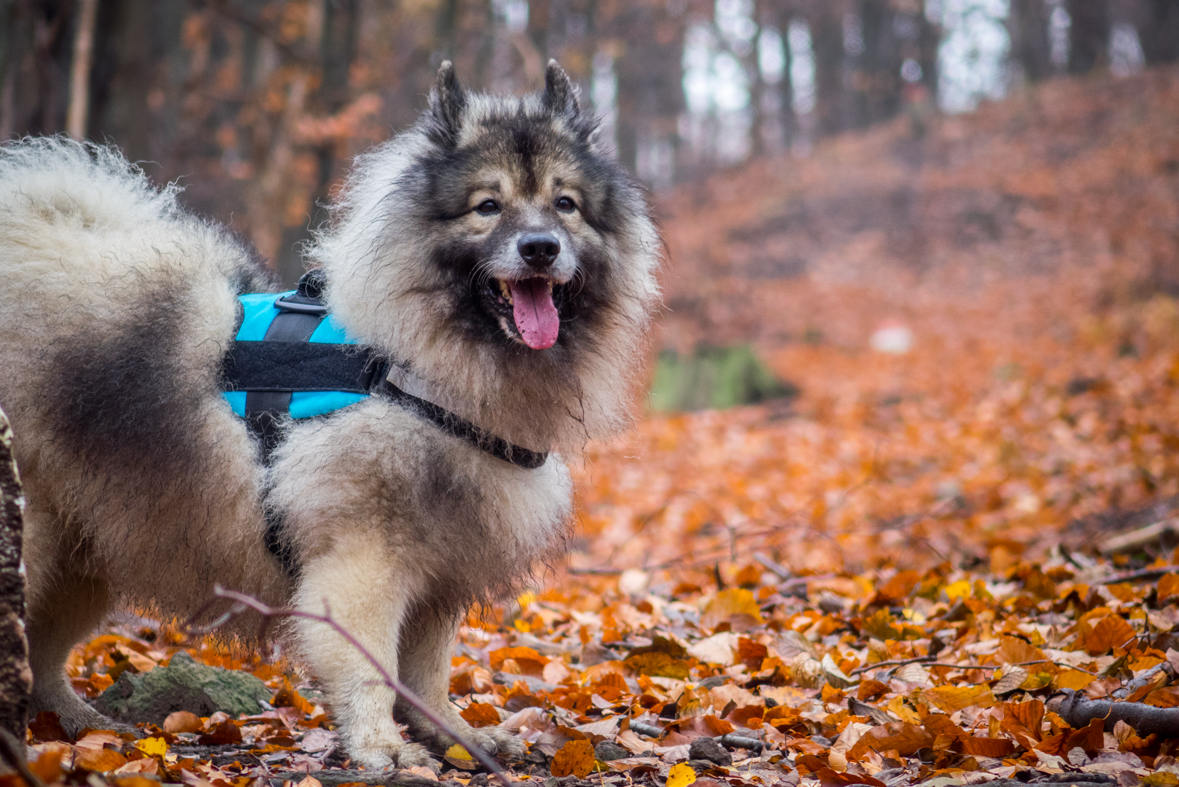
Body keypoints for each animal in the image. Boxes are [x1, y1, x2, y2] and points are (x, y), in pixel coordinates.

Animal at [0, 63, 660, 768]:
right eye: (488, 206)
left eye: (565, 205)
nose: (540, 248)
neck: (405, 367)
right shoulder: (364, 559)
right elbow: (373, 665)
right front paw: (382, 746)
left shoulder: (439, 570)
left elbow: (428, 671)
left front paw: (455, 734)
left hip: (85, 549)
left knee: (44, 652)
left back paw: (75, 723)